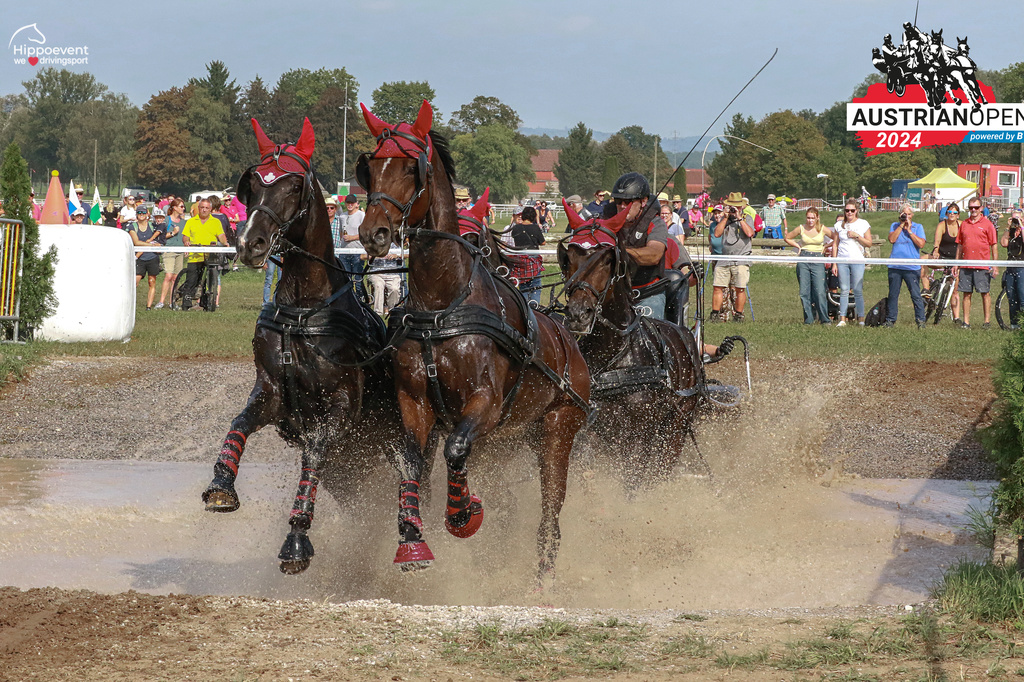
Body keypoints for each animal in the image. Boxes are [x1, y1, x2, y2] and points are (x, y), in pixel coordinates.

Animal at [201, 118, 401, 573]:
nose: (249, 243)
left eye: (293, 186)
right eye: (254, 183)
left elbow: (313, 451)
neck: (303, 312)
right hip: (349, 475)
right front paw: (221, 483)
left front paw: (297, 535)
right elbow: (239, 422)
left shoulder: (342, 410)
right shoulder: (271, 392)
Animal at [356, 99, 593, 585]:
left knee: (551, 506)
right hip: (505, 442)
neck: (444, 306)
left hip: (558, 427)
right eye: (370, 167)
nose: (373, 234)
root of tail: (570, 341)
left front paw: (462, 515)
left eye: (412, 167)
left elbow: (456, 448)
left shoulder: (484, 403)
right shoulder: (415, 401)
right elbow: (413, 462)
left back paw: (544, 570)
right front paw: (412, 538)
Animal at [561, 199, 712, 485]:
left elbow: (634, 482)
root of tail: (686, 335)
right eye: (570, 257)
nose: (578, 314)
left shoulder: (640, 436)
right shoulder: (589, 430)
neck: (613, 355)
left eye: (607, 259)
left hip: (676, 427)